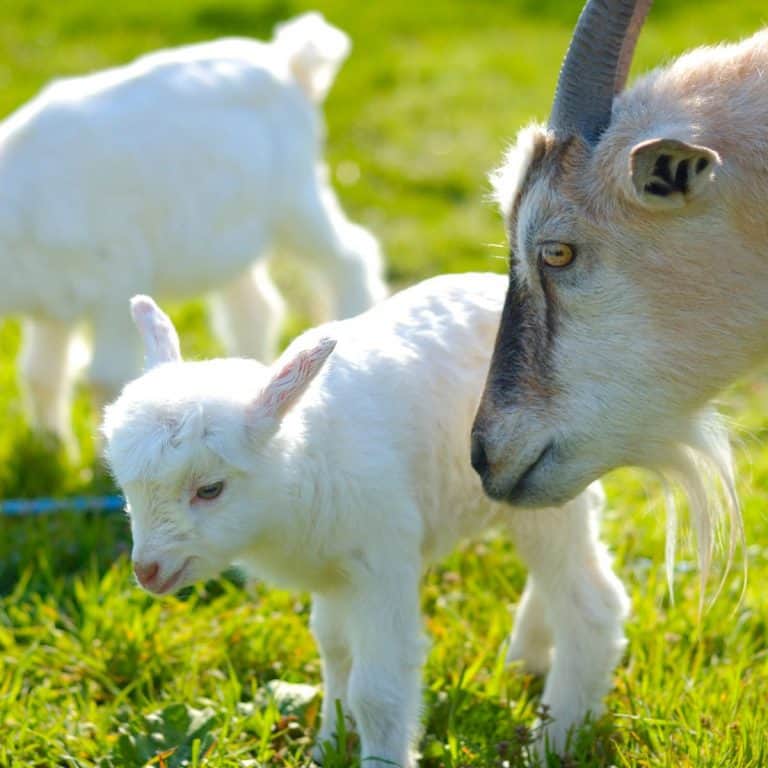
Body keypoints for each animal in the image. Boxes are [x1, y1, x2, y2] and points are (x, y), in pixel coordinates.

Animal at [0, 12, 385, 445]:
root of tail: (289, 62)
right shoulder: (52, 306)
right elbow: (40, 374)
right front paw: (50, 445)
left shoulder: (116, 280)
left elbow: (105, 378)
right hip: (233, 237)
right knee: (256, 306)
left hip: (297, 198)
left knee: (351, 254)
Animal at [102, 274, 629, 764]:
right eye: (127, 488)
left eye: (209, 489)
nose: (146, 572)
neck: (306, 461)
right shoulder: (334, 571)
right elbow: (337, 653)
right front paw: (328, 744)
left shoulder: (383, 559)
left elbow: (379, 690)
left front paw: (379, 757)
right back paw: (527, 661)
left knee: (593, 605)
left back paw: (554, 739)